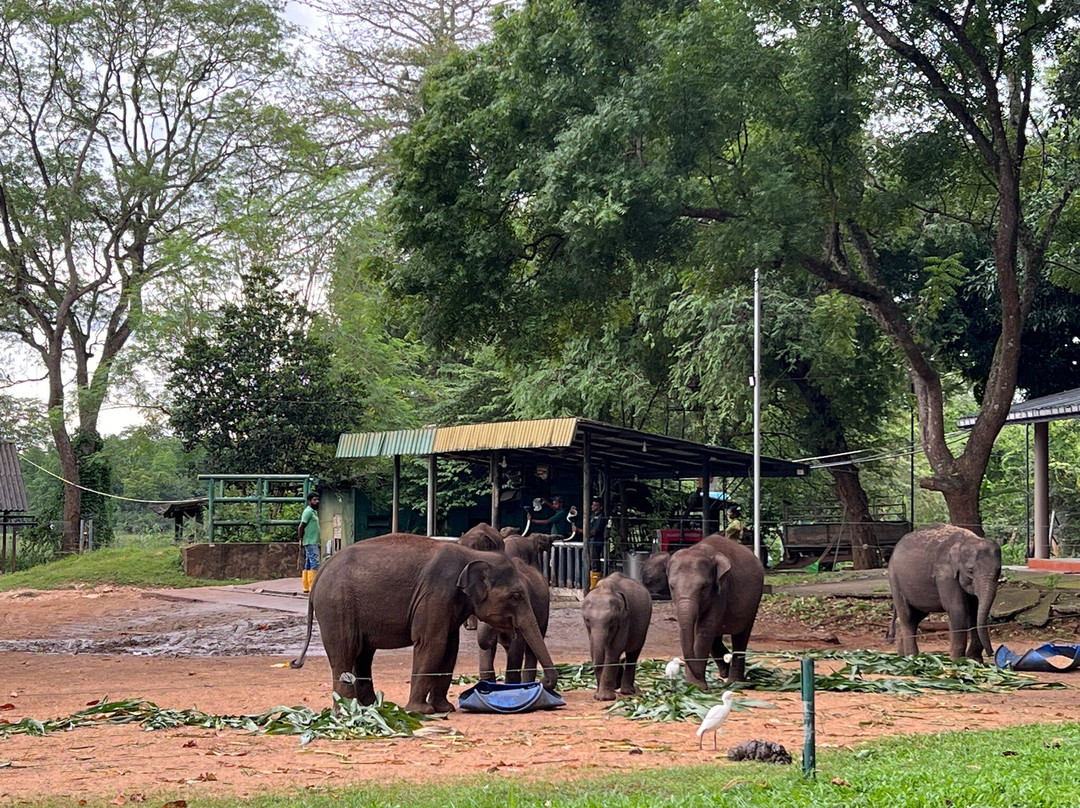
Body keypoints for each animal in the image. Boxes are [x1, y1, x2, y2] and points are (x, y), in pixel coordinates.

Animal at [290, 533, 558, 714]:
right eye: (516, 596)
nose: (544, 683)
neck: (473, 556)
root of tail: (321, 573)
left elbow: (450, 647)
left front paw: (445, 708)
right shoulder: (436, 593)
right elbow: (432, 643)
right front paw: (421, 711)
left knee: (363, 654)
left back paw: (369, 707)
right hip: (337, 607)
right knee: (345, 651)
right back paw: (348, 710)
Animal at [650, 533, 764, 689]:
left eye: (704, 587)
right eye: (672, 587)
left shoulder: (722, 590)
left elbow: (704, 629)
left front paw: (696, 686)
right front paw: (692, 684)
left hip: (754, 602)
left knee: (741, 636)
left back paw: (734, 681)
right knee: (715, 638)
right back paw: (725, 671)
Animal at [888, 524, 1002, 661]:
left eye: (999, 570)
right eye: (970, 571)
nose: (992, 653)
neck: (964, 541)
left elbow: (974, 611)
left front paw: (974, 659)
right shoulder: (945, 574)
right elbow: (957, 610)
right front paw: (957, 660)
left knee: (915, 616)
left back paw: (902, 658)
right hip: (895, 580)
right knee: (907, 616)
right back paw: (913, 658)